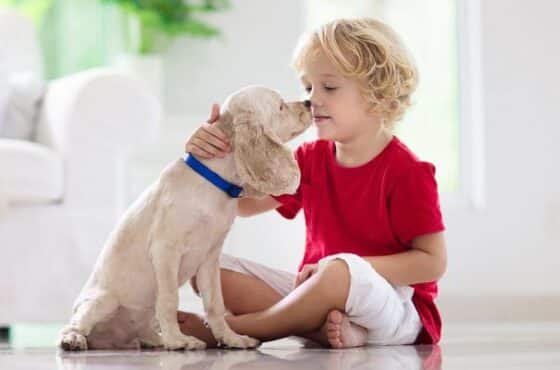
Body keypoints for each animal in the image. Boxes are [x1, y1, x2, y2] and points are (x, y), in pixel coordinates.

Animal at [59, 86, 312, 350]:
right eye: (280, 106)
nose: (308, 103)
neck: (214, 183)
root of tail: (111, 341)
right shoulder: (165, 250)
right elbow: (170, 299)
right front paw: (178, 340)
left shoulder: (210, 257)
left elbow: (215, 303)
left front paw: (231, 338)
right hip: (103, 301)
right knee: (74, 324)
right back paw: (74, 339)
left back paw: (156, 340)